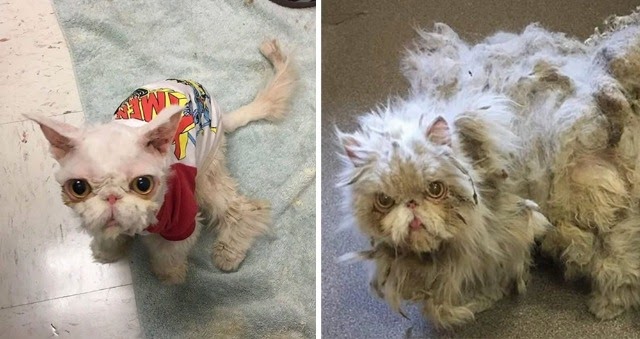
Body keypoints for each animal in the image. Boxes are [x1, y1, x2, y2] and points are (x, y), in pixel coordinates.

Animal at [25, 39, 296, 284]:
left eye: (143, 184)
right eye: (79, 187)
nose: (111, 197)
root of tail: (220, 112)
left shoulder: (182, 220)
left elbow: (168, 253)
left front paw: (170, 277)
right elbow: (107, 234)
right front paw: (107, 252)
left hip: (207, 170)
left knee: (243, 208)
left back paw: (228, 253)